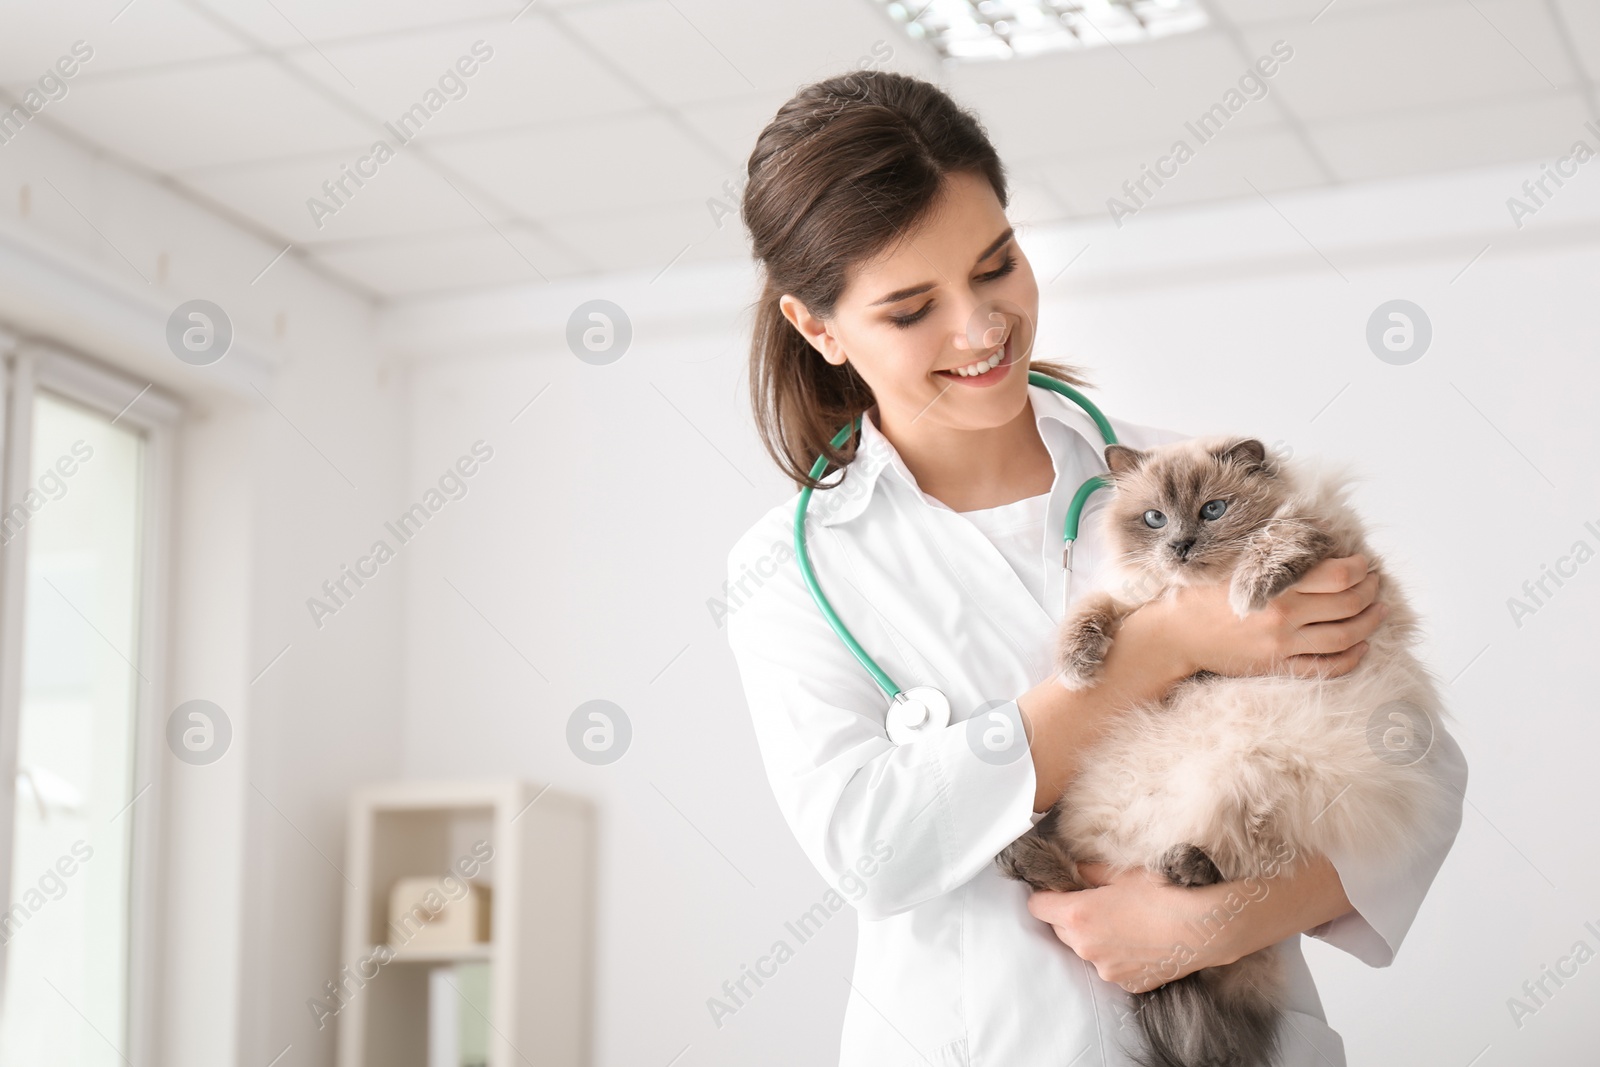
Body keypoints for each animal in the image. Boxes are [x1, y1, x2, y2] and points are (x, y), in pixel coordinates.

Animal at [998, 438, 1465, 1067]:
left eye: (1213, 510)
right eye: (1154, 519)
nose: (1180, 545)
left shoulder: (1332, 538)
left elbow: (1284, 534)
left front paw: (1249, 590)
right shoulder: (1136, 599)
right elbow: (1093, 611)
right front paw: (1078, 668)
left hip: (1254, 773)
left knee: (1230, 862)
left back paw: (1178, 864)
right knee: (1081, 876)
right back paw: (1028, 856)